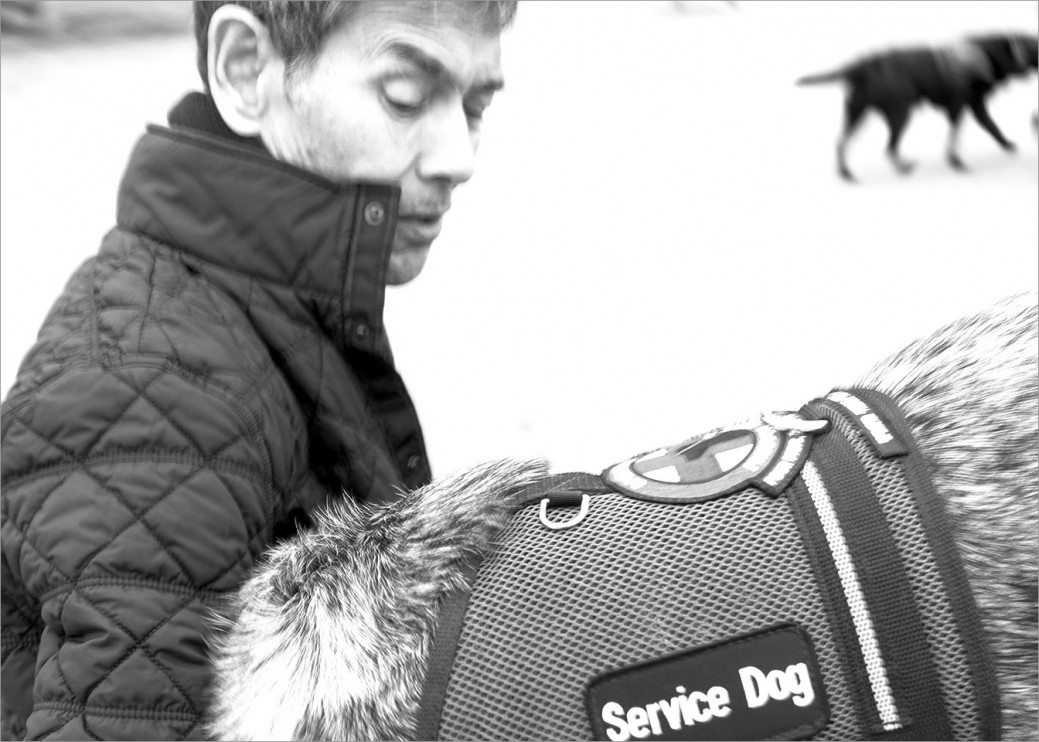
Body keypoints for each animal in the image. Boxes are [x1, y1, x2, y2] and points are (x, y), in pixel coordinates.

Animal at [793, 33, 1039, 180]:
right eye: (1034, 47)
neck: (989, 52)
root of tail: (865, 64)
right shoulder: (961, 103)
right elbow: (959, 132)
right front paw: (956, 162)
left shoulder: (975, 104)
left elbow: (991, 126)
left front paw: (1006, 144)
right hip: (899, 113)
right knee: (889, 147)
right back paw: (903, 168)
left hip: (857, 112)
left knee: (842, 142)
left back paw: (846, 173)